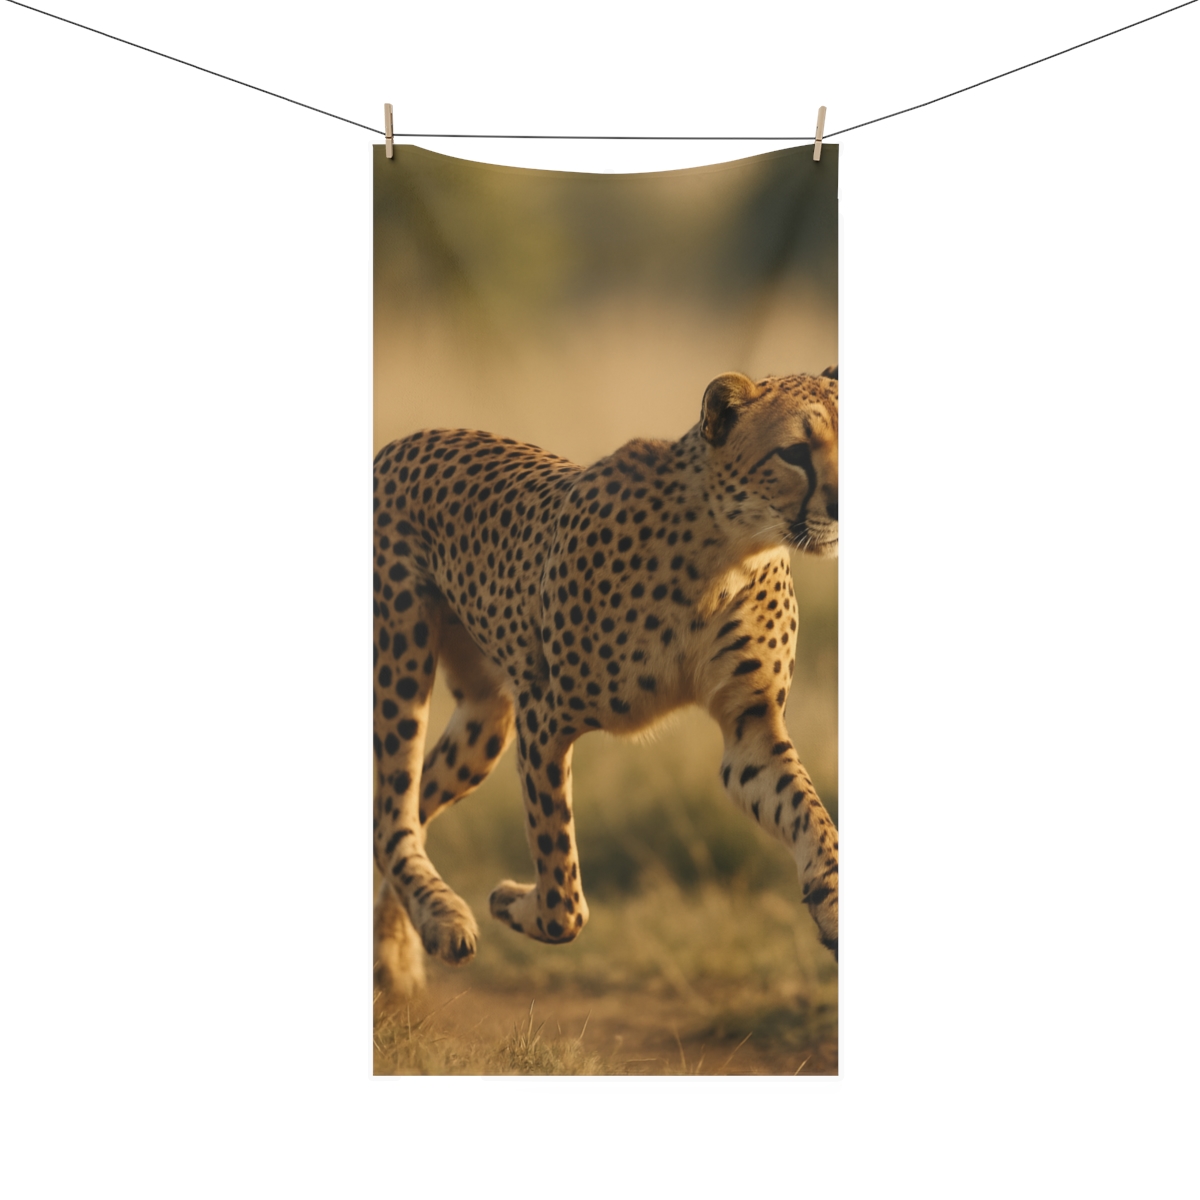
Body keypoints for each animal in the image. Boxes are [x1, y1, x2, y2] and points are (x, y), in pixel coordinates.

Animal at [373, 368, 839, 996]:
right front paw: (511, 902)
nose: (843, 504)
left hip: (485, 721)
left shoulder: (750, 728)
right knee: (391, 815)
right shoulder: (544, 716)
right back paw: (445, 920)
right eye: (794, 452)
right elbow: (564, 892)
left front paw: (832, 903)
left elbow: (811, 815)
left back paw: (399, 952)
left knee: (406, 810)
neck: (730, 548)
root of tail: (409, 441)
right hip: (402, 664)